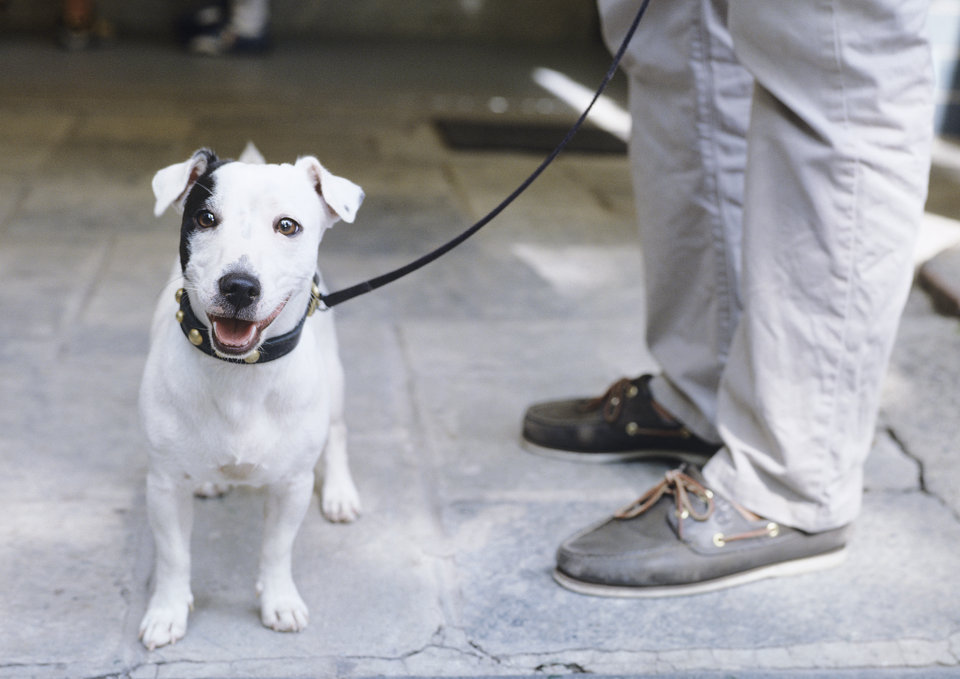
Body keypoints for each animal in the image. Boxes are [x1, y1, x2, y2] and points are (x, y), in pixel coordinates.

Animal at [134, 143, 360, 648]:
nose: (238, 285)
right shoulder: (164, 486)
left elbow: (277, 549)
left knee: (337, 434)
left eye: (288, 226)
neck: (240, 372)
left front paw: (279, 600)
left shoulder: (292, 484)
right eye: (205, 218)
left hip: (336, 381)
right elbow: (174, 556)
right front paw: (167, 611)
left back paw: (339, 492)